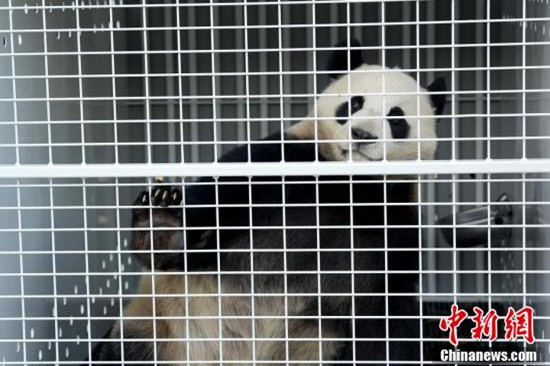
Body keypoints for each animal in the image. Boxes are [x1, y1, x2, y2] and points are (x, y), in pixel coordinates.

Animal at [92, 38, 448, 364]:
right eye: (353, 105)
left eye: (396, 118)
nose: (362, 135)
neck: (350, 185)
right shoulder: (283, 163)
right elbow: (212, 210)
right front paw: (163, 228)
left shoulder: (393, 223)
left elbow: (386, 314)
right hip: (163, 324)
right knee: (125, 347)